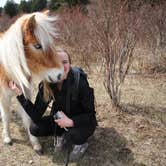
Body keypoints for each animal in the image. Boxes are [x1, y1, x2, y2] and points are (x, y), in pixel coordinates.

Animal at [0, 10, 64, 153]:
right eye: (37, 46)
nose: (60, 75)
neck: (10, 68)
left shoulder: (25, 92)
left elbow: (28, 117)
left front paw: (35, 143)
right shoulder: (3, 96)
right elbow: (6, 116)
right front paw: (7, 137)